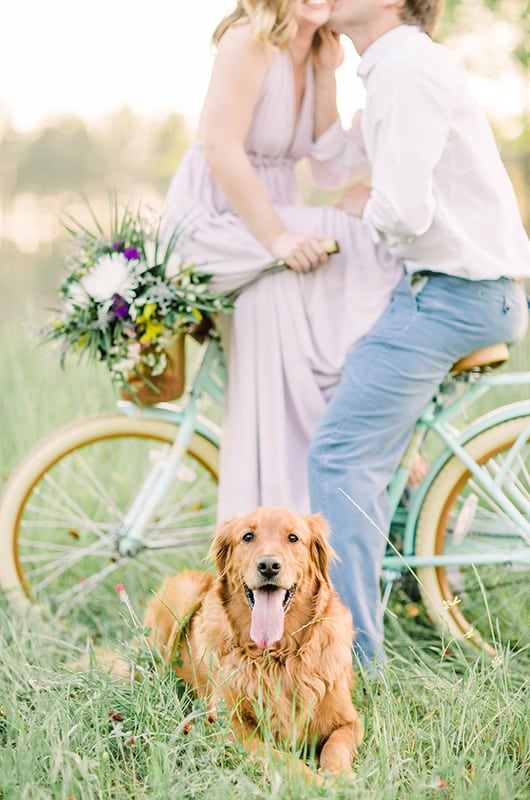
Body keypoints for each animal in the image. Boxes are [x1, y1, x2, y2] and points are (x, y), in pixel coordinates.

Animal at [142, 510, 360, 780]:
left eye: (293, 537)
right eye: (248, 536)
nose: (268, 566)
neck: (277, 654)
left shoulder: (350, 721)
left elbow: (336, 746)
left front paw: (339, 777)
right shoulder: (229, 726)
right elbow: (281, 758)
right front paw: (313, 782)